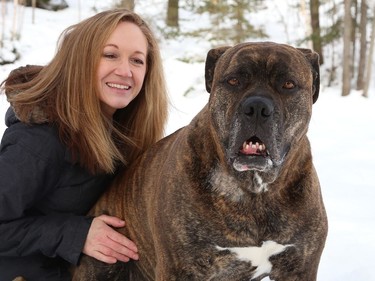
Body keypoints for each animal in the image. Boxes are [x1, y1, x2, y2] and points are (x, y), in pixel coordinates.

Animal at [73, 41, 328, 280]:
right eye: (233, 80)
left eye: (288, 84)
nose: (257, 107)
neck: (254, 192)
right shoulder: (181, 270)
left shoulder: (299, 267)